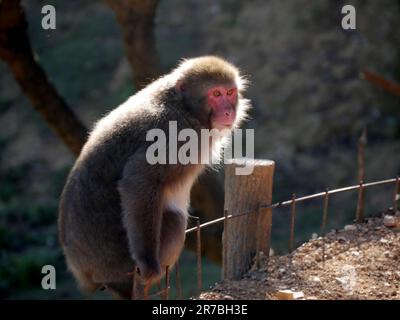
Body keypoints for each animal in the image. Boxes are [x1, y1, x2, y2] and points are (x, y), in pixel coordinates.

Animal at [58, 54, 250, 298]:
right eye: (216, 94)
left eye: (230, 92)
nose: (228, 112)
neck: (184, 108)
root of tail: (84, 274)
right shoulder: (173, 135)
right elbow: (138, 180)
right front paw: (148, 264)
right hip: (118, 265)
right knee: (174, 219)